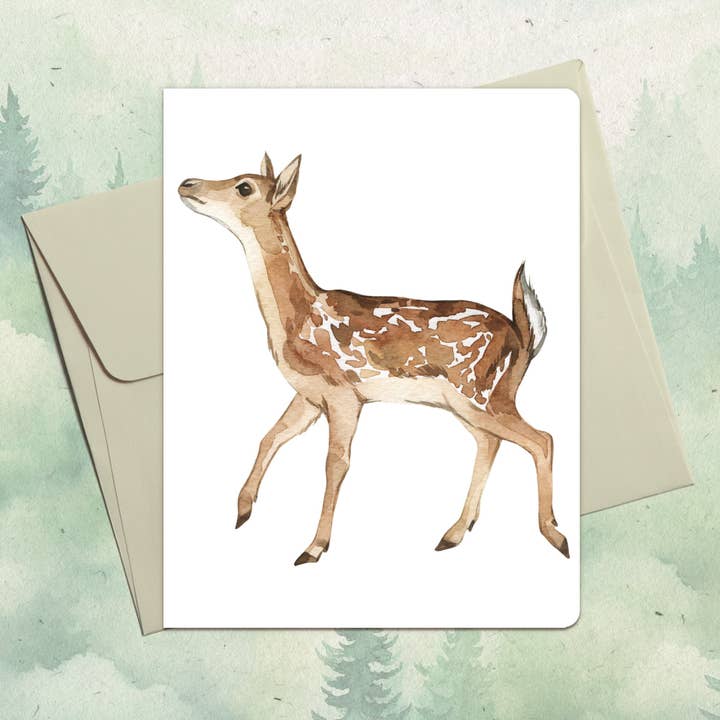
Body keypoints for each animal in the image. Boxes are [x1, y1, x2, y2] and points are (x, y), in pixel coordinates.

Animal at [178, 154, 569, 566]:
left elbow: (335, 463)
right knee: (491, 443)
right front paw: (243, 510)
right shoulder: (310, 394)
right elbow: (270, 436)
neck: (298, 318)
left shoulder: (344, 393)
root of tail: (524, 340)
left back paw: (555, 535)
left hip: (483, 392)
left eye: (244, 187)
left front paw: (313, 548)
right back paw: (454, 533)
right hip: (467, 401)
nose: (187, 184)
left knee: (541, 439)